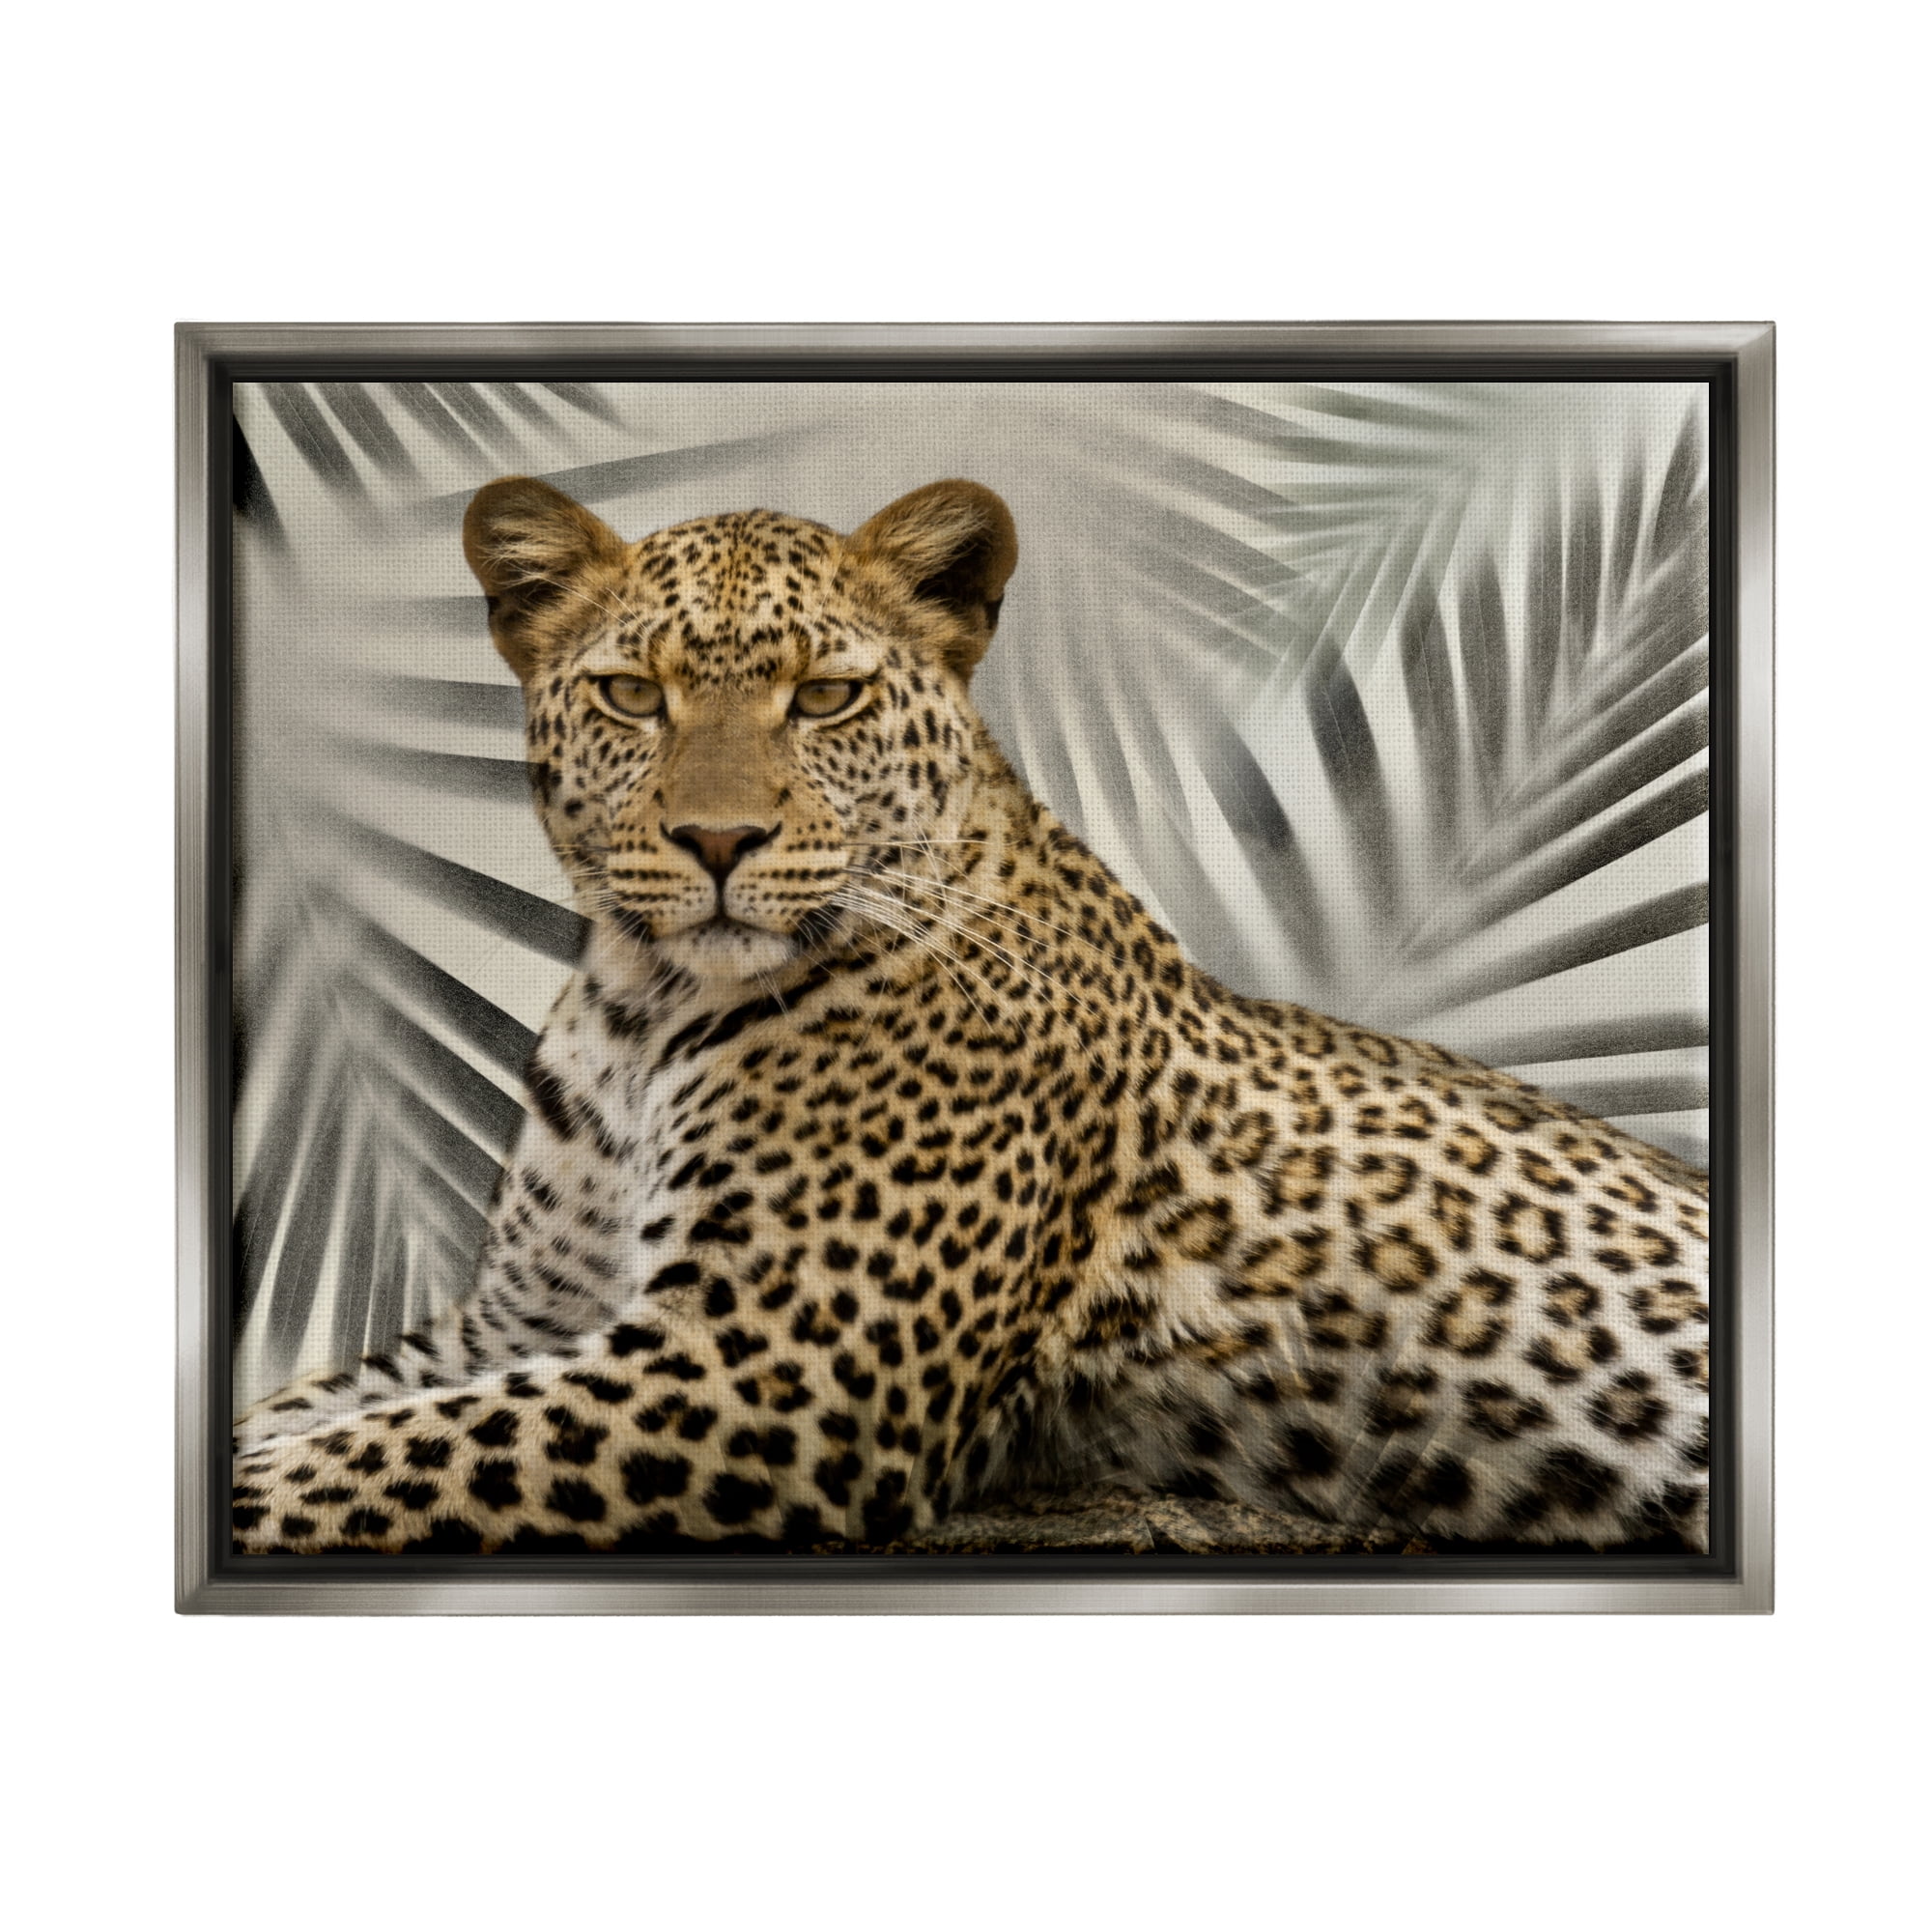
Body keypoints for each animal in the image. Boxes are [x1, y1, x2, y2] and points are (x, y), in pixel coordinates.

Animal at [230, 474, 1713, 1556]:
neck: (644, 1009)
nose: (717, 841)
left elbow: (360, 1461)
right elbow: (313, 1413)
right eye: (632, 695)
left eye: (825, 696)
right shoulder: (519, 1323)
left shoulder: (772, 1366)